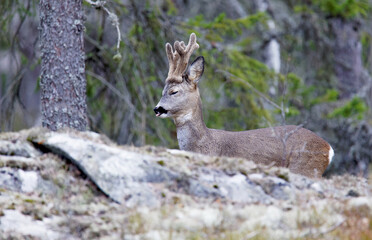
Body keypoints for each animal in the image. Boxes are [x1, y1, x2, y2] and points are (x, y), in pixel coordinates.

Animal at [154, 32, 334, 177]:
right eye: (163, 90)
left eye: (174, 91)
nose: (157, 108)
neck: (204, 144)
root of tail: (329, 148)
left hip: (306, 168)